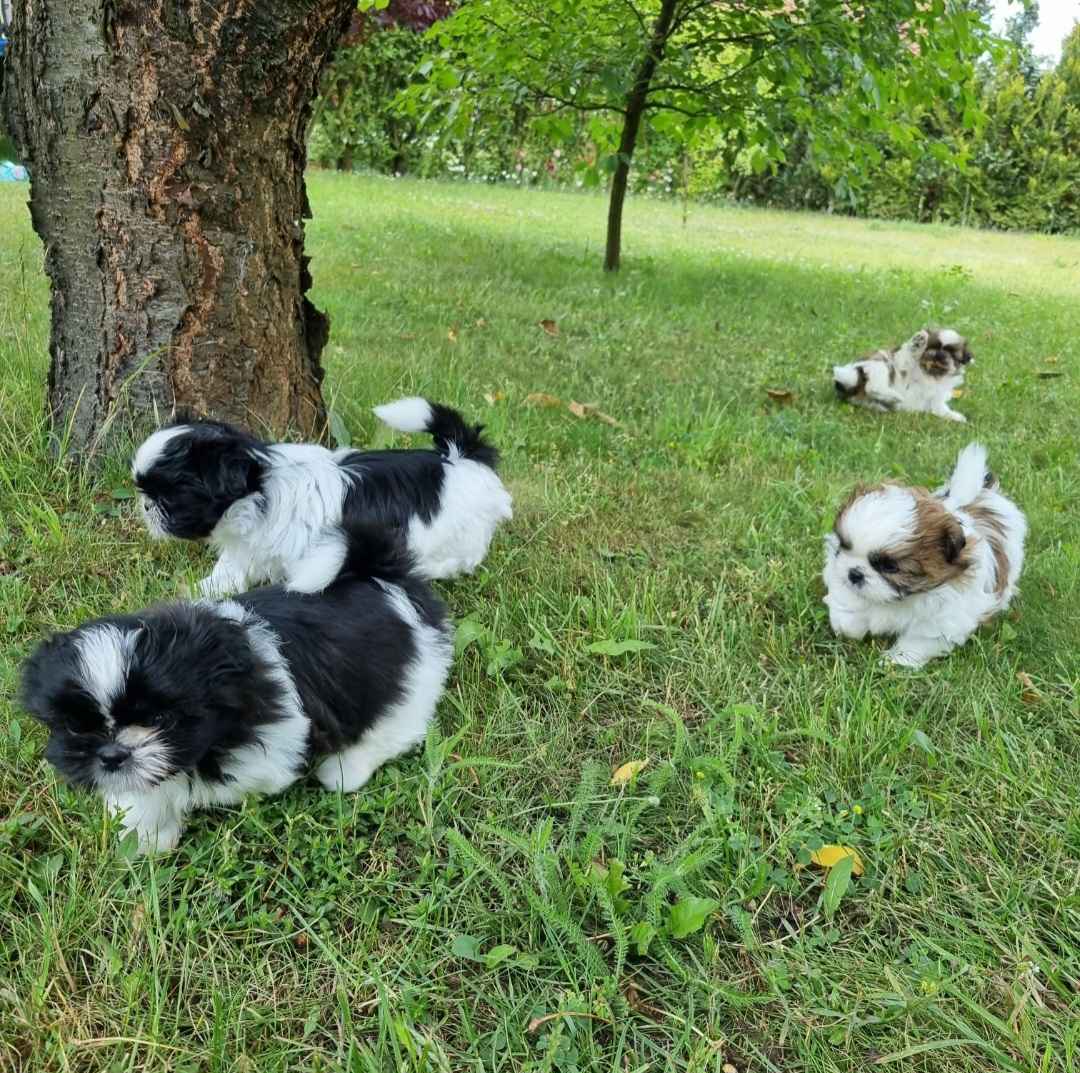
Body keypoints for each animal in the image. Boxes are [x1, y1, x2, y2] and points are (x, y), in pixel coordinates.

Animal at [21, 520, 451, 854]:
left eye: (161, 719)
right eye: (76, 725)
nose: (112, 754)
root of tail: (384, 576)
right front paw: (145, 831)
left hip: (410, 678)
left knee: (396, 727)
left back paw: (346, 768)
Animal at [132, 392, 511, 595]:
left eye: (170, 495)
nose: (147, 506)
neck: (262, 487)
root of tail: (460, 456)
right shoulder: (249, 547)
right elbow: (230, 570)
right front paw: (202, 592)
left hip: (461, 534)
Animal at [820, 440, 1023, 660]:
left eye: (890, 567)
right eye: (843, 546)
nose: (854, 573)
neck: (903, 599)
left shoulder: (940, 621)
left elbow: (917, 641)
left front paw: (895, 661)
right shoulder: (839, 575)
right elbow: (847, 606)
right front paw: (849, 629)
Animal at [829, 326, 976, 423]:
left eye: (951, 353)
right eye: (932, 347)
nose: (939, 354)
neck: (931, 374)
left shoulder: (937, 400)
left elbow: (941, 409)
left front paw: (956, 416)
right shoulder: (904, 363)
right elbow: (908, 354)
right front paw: (918, 341)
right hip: (878, 366)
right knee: (872, 386)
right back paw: (894, 395)